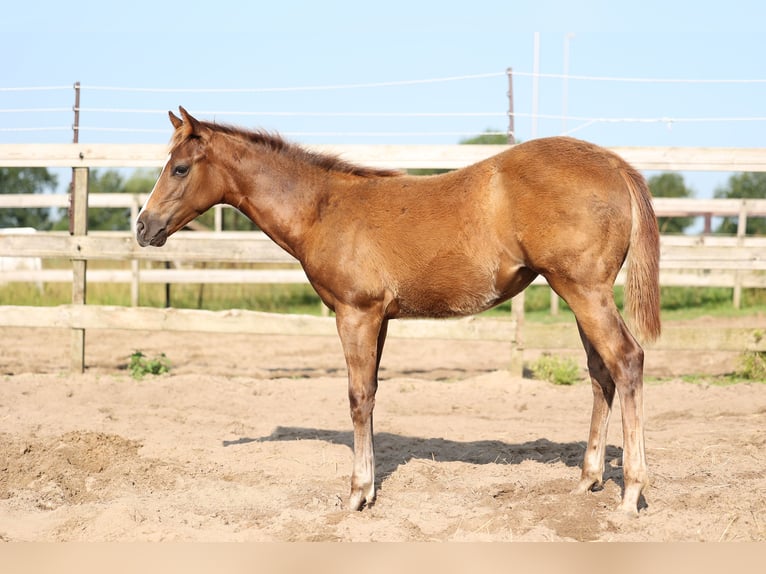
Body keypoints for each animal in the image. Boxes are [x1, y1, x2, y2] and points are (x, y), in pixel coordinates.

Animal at [136, 108, 660, 516]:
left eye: (179, 168)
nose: (143, 227)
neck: (323, 209)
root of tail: (614, 163)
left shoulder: (355, 314)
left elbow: (357, 397)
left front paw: (357, 493)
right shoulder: (380, 319)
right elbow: (371, 394)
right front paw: (367, 488)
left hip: (583, 290)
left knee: (626, 360)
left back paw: (630, 493)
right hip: (579, 293)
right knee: (601, 372)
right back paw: (588, 479)